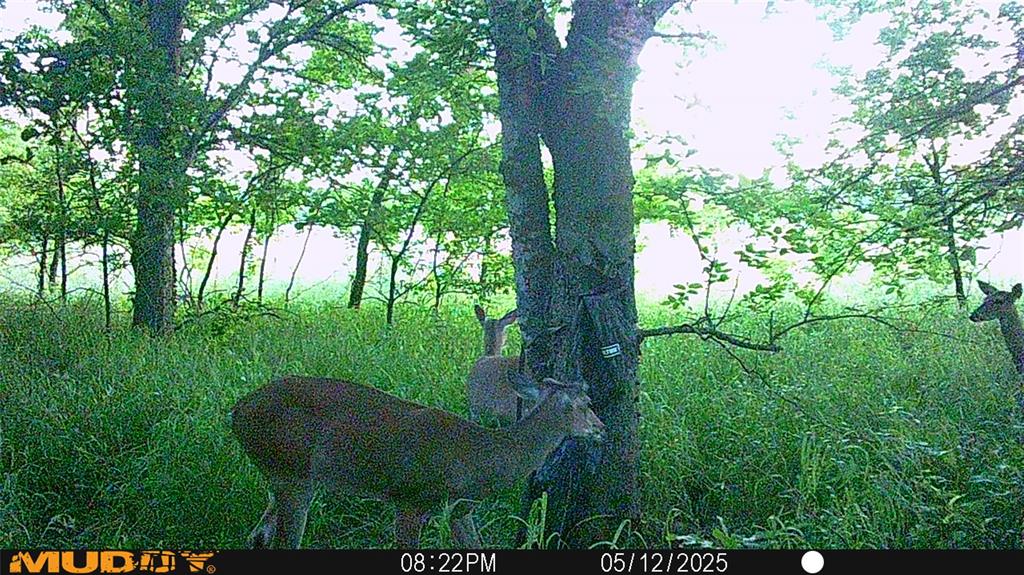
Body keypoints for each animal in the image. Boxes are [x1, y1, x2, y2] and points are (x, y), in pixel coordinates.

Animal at [230, 371, 604, 549]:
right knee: (283, 541)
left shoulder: (460, 509)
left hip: (282, 477)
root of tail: (237, 411)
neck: (480, 458)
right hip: (291, 471)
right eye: (586, 403)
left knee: (258, 536)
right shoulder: (410, 497)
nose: (602, 428)